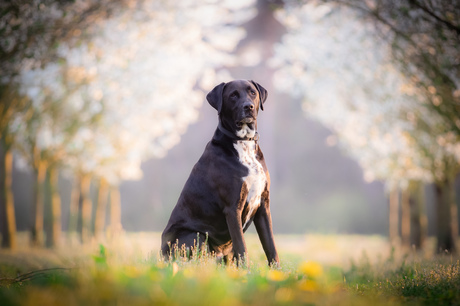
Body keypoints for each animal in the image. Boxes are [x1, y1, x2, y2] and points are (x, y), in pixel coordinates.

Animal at [160, 79, 278, 266]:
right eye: (233, 95)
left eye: (252, 92)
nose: (249, 106)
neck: (243, 142)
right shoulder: (232, 207)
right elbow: (242, 246)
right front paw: (246, 271)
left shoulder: (263, 205)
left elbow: (270, 246)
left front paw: (278, 271)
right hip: (195, 235)